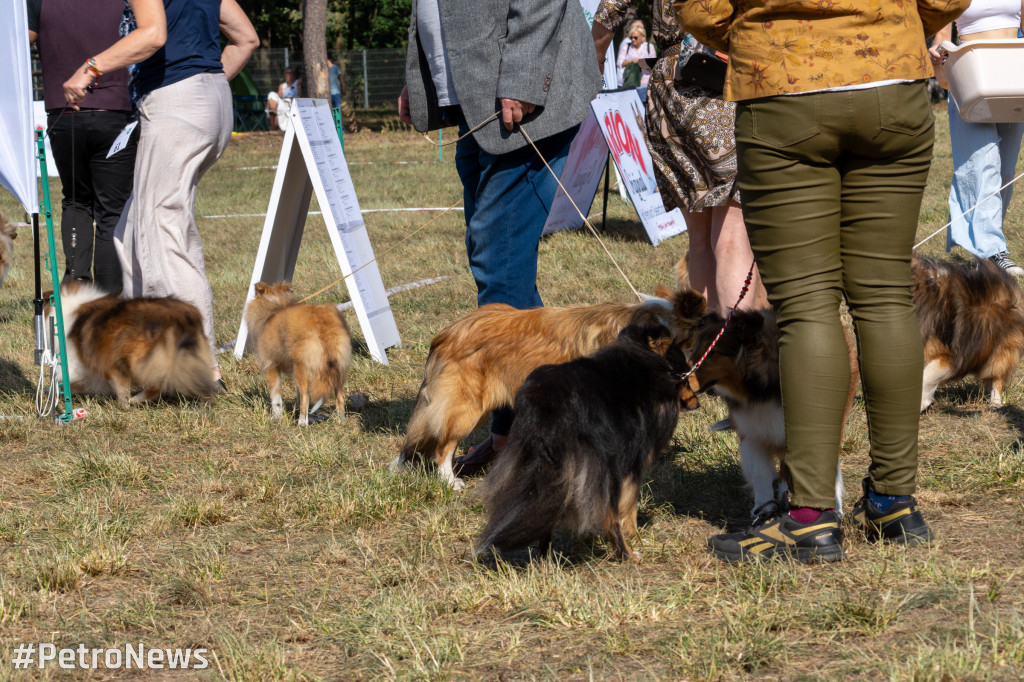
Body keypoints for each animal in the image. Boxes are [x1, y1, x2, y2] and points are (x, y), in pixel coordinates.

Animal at [242, 278, 352, 421]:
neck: (274, 304)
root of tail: (321, 323)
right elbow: (298, 394)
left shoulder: (271, 365)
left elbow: (276, 398)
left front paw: (276, 417)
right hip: (337, 367)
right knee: (339, 397)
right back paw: (341, 421)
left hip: (303, 365)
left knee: (306, 397)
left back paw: (302, 423)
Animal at [473, 321, 700, 561]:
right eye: (685, 377)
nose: (698, 403)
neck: (643, 359)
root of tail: (548, 403)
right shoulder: (633, 464)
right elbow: (629, 507)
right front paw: (635, 536)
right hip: (605, 467)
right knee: (609, 517)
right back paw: (627, 555)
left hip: (542, 467)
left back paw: (545, 557)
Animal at [913, 250, 1024, 405]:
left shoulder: (945, 357)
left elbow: (926, 377)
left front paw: (922, 402)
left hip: (1000, 352)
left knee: (997, 378)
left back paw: (995, 403)